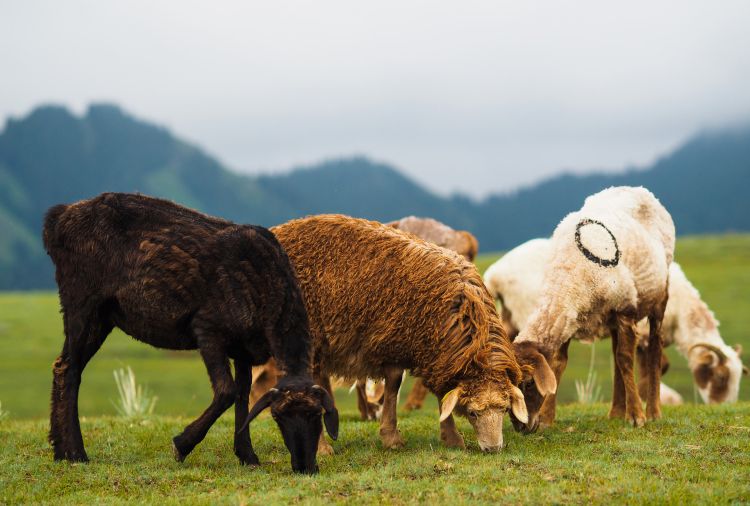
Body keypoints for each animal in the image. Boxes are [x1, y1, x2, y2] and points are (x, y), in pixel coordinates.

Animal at [41, 193, 334, 474]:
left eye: (317, 415)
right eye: (277, 416)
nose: (305, 467)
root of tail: (58, 218)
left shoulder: (243, 348)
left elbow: (242, 396)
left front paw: (247, 455)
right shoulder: (207, 329)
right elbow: (226, 392)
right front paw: (181, 445)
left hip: (102, 316)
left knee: (64, 367)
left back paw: (59, 449)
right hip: (82, 301)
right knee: (68, 369)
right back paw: (76, 453)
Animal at [272, 215, 528, 452]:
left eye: (504, 409)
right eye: (473, 413)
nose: (493, 448)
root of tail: (278, 228)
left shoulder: (423, 349)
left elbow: (424, 390)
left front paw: (447, 437)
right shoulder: (396, 341)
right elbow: (394, 386)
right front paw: (396, 437)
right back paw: (322, 448)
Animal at [484, 239, 748, 406]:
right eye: (721, 377)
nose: (723, 407)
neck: (682, 312)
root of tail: (495, 273)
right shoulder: (643, 332)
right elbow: (659, 365)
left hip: (509, 316)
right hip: (529, 315)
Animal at [508, 186, 680, 430]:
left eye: (530, 383)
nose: (521, 427)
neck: (566, 276)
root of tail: (639, 189)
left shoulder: (625, 308)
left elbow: (626, 360)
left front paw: (636, 416)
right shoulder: (569, 316)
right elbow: (560, 363)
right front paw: (547, 418)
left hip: (659, 296)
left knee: (653, 348)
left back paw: (653, 411)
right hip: (613, 317)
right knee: (617, 355)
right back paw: (616, 411)